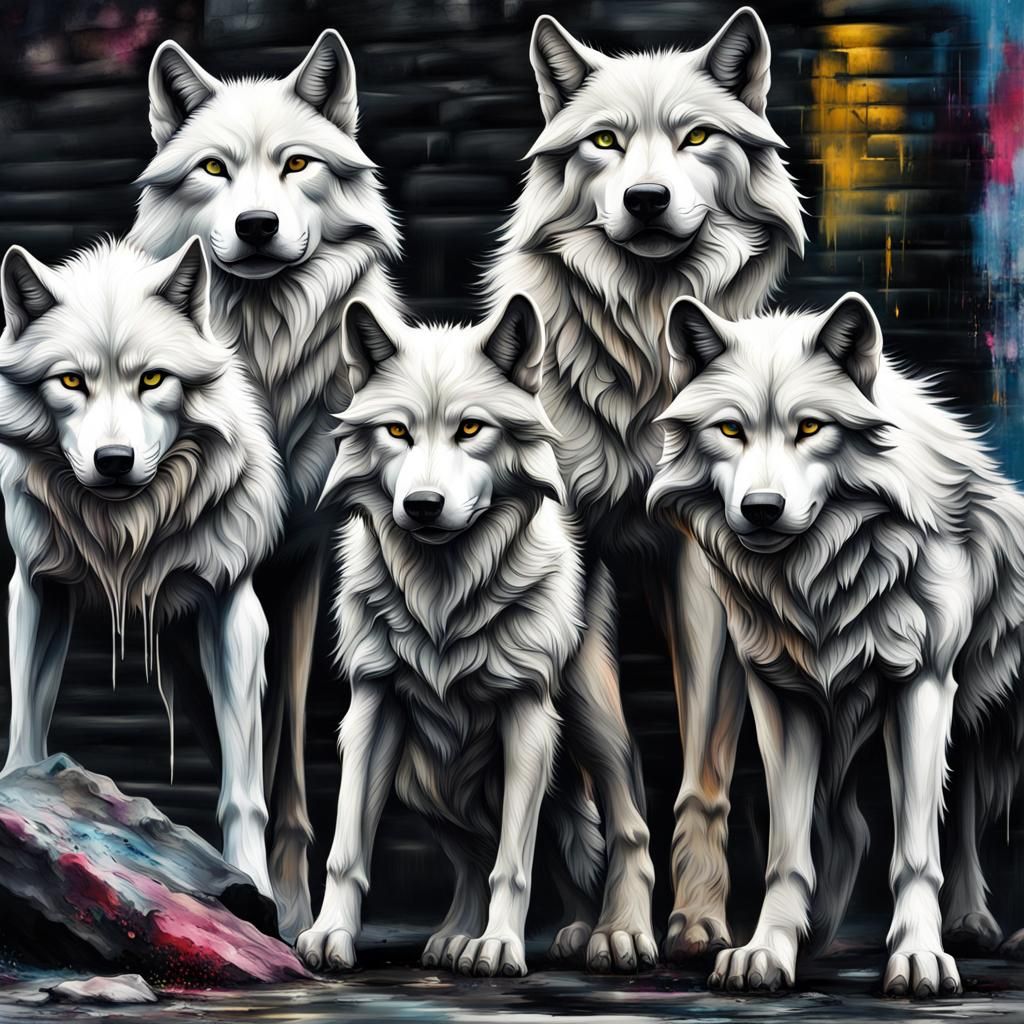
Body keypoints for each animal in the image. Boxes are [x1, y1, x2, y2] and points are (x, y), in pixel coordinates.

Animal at [0, 236, 284, 901]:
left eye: (153, 379)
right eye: (71, 380)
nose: (113, 460)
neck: (127, 532)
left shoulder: (234, 609)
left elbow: (244, 789)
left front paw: (256, 888)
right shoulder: (35, 591)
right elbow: (25, 732)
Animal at [128, 30, 403, 938]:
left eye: (295, 165)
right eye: (214, 168)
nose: (256, 226)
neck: (262, 359)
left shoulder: (297, 567)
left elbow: (281, 755)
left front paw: (289, 906)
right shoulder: (222, 578)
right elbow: (233, 739)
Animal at [295, 294, 656, 976]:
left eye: (469, 429)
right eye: (397, 431)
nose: (423, 505)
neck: (444, 597)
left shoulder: (530, 714)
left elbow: (514, 861)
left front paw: (501, 946)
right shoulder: (371, 706)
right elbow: (346, 847)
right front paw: (330, 935)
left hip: (591, 719)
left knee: (626, 826)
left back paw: (612, 933)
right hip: (422, 773)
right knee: (472, 852)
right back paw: (462, 937)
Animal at [482, 7, 807, 963]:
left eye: (696, 137)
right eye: (605, 142)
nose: (647, 200)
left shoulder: (704, 566)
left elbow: (702, 772)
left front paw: (697, 922)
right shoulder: (577, 563)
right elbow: (616, 768)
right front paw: (622, 927)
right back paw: (573, 915)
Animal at [646, 290, 1024, 996]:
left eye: (811, 428)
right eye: (730, 430)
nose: (762, 508)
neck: (821, 580)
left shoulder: (924, 684)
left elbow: (914, 851)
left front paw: (919, 957)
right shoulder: (781, 697)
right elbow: (788, 852)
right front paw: (767, 950)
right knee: (914, 819)